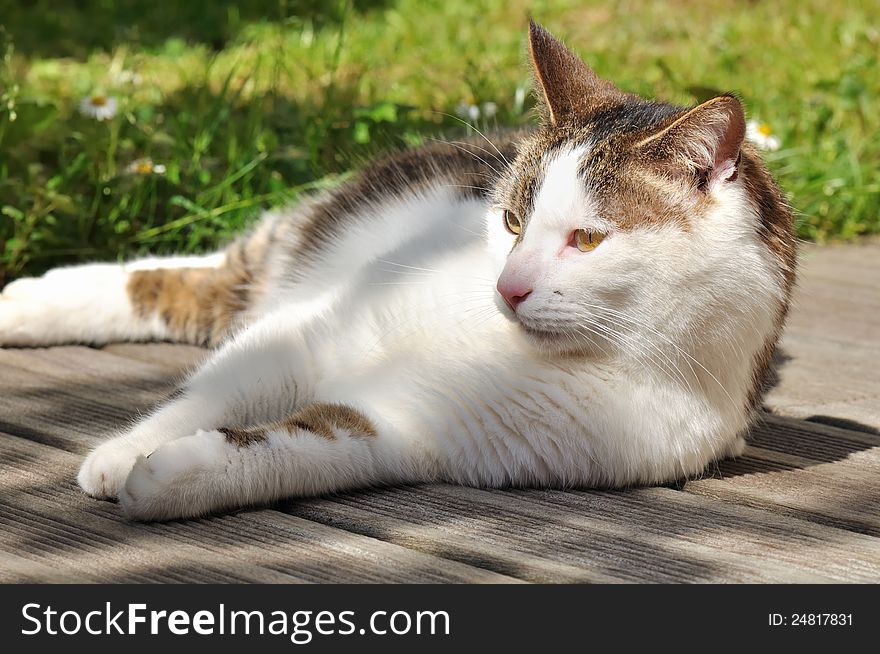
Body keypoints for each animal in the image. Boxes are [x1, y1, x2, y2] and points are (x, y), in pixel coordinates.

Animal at [0, 21, 796, 524]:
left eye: (588, 240)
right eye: (513, 221)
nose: (506, 287)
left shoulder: (417, 429)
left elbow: (303, 445)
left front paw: (174, 476)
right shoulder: (314, 329)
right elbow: (211, 393)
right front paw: (124, 452)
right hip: (308, 245)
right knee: (195, 281)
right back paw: (24, 304)